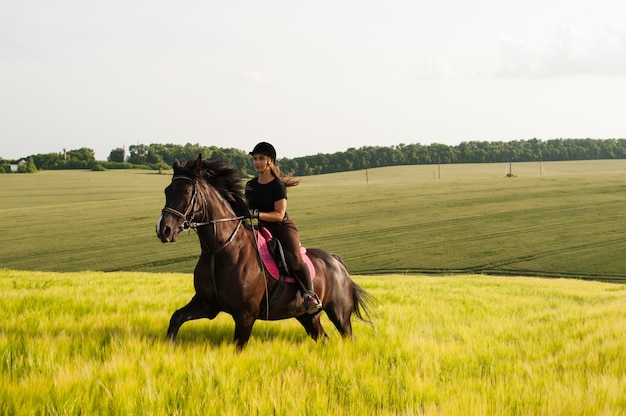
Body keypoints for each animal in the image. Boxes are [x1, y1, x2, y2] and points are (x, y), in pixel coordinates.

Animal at [155, 154, 372, 350]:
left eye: (186, 191)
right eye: (167, 190)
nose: (164, 230)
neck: (219, 250)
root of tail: (336, 261)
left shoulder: (245, 315)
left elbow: (238, 347)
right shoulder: (206, 304)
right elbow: (176, 318)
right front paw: (168, 351)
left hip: (339, 313)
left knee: (348, 336)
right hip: (306, 316)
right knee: (323, 337)